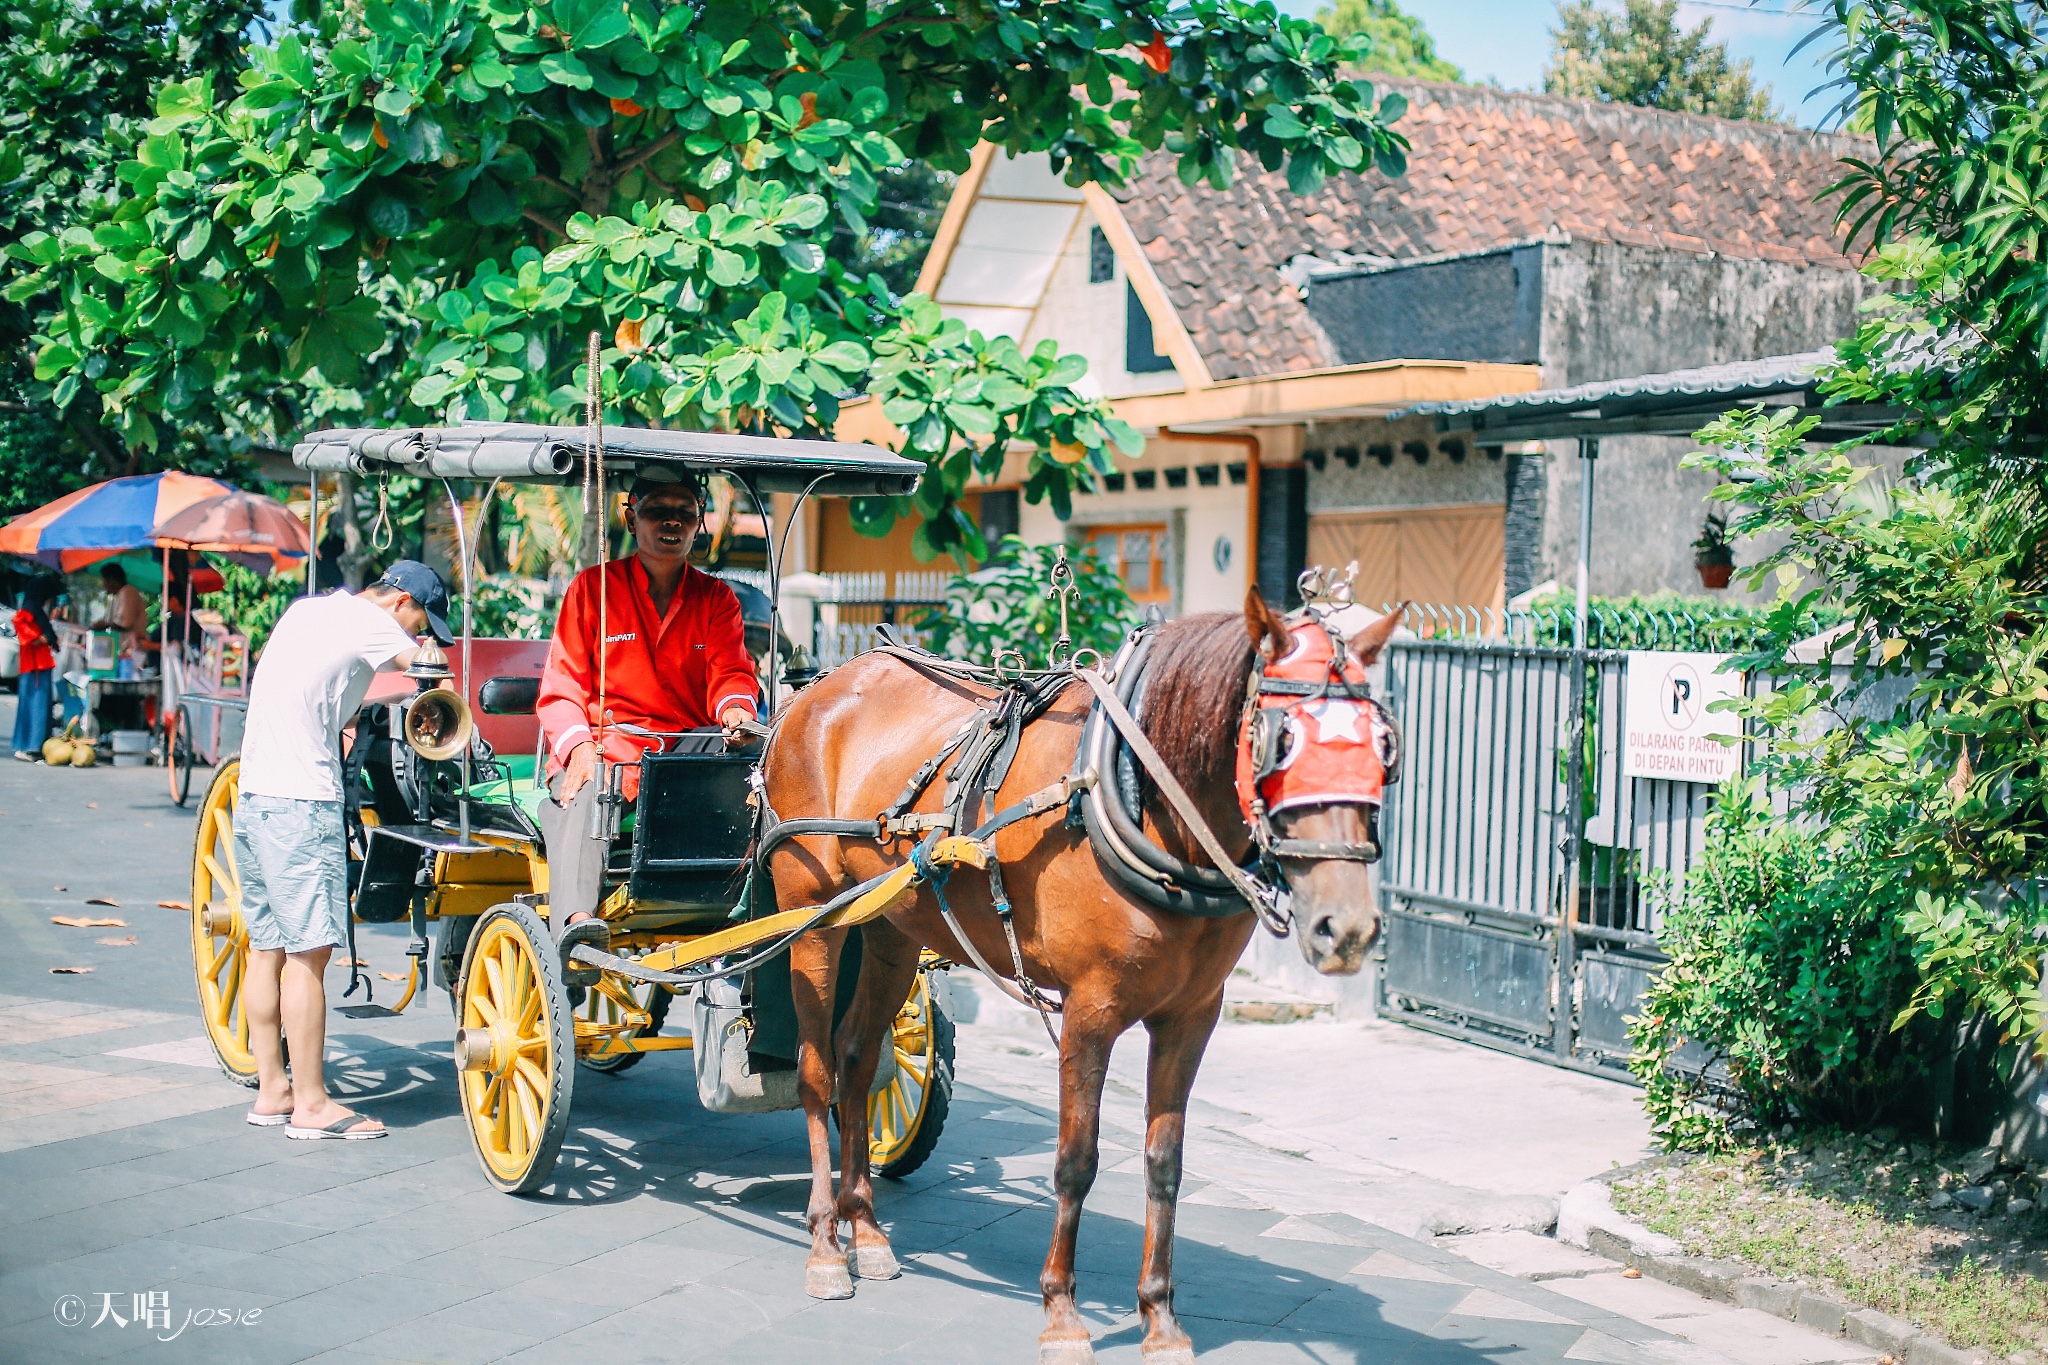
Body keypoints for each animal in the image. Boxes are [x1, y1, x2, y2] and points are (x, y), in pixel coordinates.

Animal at [761, 593, 1400, 1358]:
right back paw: (827, 1242)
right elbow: (1076, 1158)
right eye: (1282, 742)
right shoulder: (1089, 1010)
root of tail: (817, 687)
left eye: (1384, 748)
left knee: (858, 1062)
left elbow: (1165, 1161)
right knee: (817, 1071)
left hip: (890, 924)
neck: (1143, 807)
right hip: (811, 914)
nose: (1348, 927)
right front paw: (1062, 1312)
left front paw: (1159, 1316)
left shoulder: (1192, 1015)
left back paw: (867, 1228)